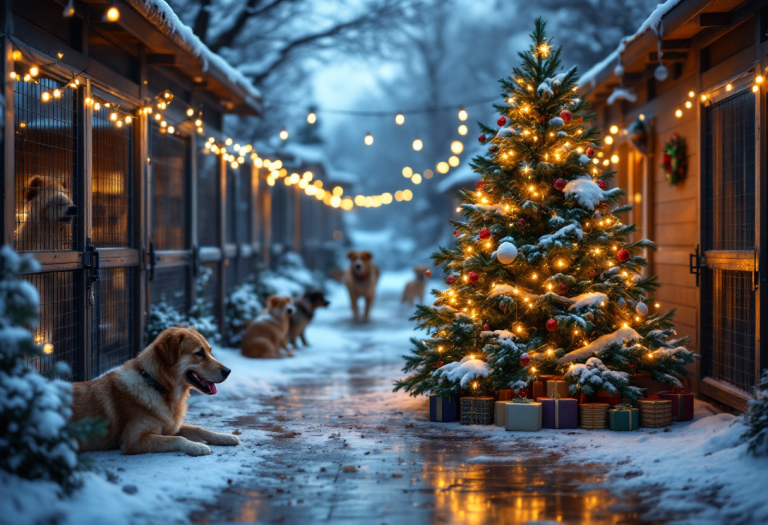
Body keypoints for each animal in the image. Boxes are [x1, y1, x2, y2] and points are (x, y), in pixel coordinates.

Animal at [72, 328, 242, 454]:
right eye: (199, 353)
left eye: (209, 351)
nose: (228, 371)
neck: (157, 386)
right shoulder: (134, 440)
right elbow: (177, 439)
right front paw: (197, 446)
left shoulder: (171, 427)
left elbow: (201, 429)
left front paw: (225, 437)